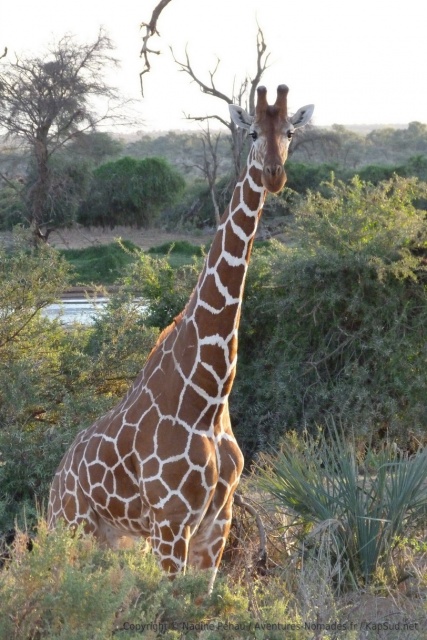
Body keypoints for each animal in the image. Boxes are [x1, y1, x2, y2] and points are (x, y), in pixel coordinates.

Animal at [48, 85, 314, 589]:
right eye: (252, 132)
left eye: (290, 132)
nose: (274, 174)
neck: (208, 397)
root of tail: (55, 481)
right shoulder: (171, 524)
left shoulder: (216, 523)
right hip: (72, 529)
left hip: (116, 539)